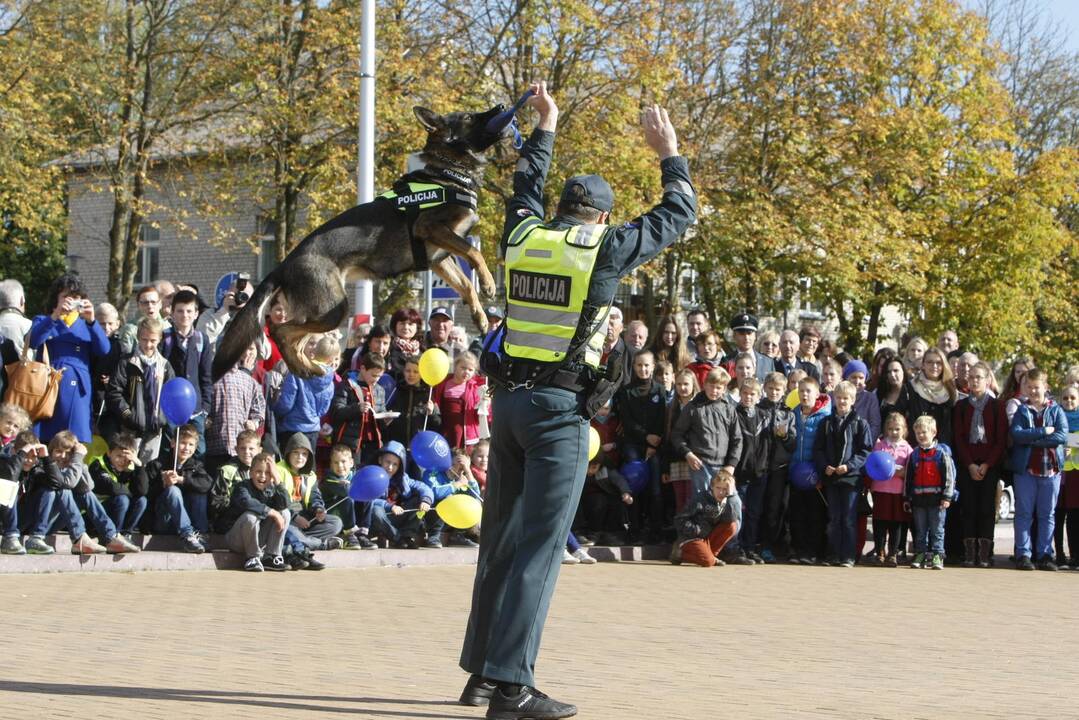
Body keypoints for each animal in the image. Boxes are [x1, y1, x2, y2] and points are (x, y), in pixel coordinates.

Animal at [215, 105, 513, 382]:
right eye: (469, 117)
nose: (500, 107)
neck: (448, 170)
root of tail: (283, 265)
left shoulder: (439, 258)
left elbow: (465, 283)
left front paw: (480, 316)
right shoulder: (430, 227)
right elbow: (474, 252)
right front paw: (488, 283)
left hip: (323, 312)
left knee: (294, 337)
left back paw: (307, 368)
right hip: (334, 309)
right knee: (280, 330)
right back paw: (305, 366)